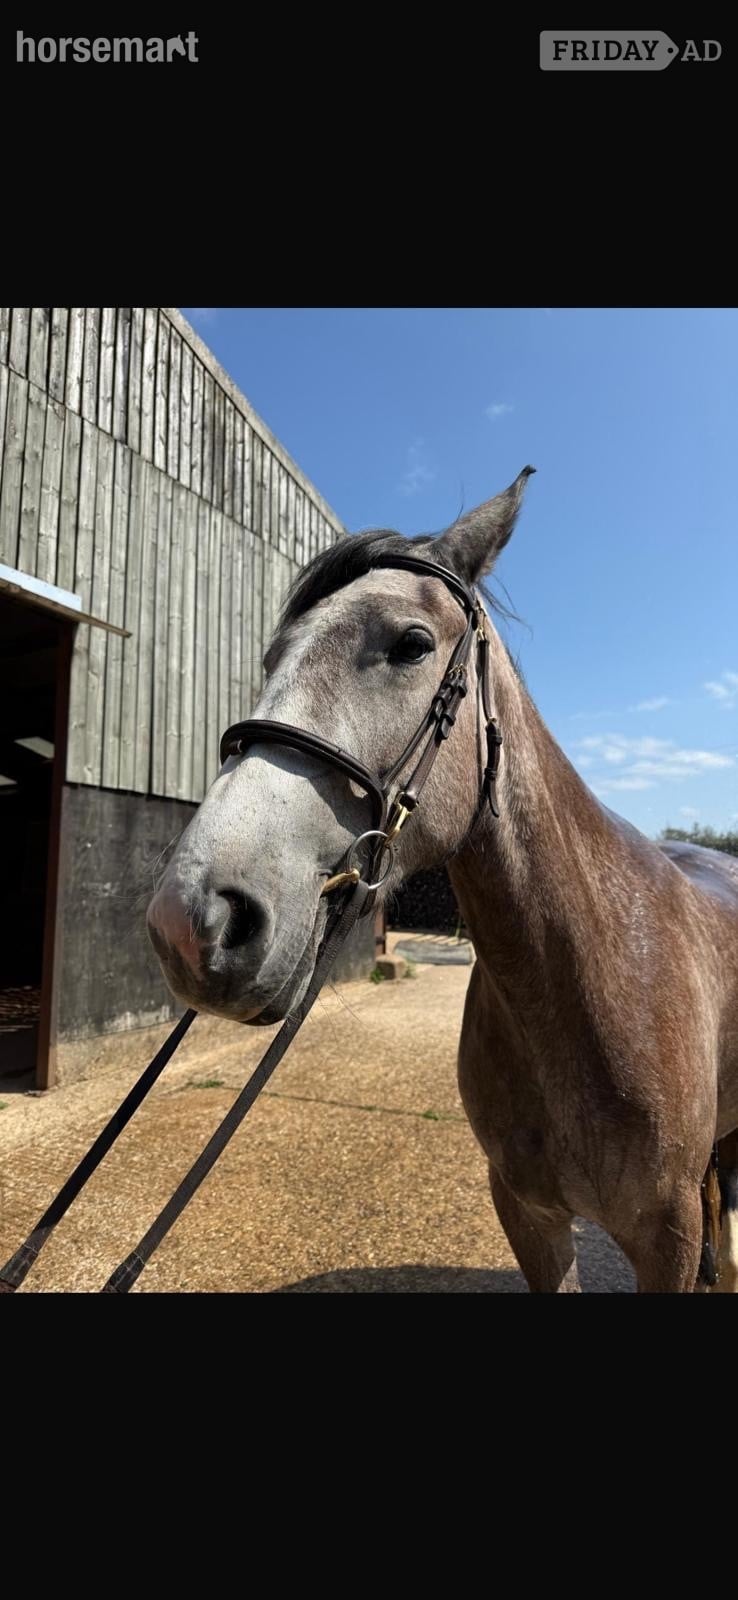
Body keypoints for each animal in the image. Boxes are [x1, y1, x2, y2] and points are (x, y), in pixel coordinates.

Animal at [147, 469, 738, 1292]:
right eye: (271, 658)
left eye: (413, 644)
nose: (192, 918)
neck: (588, 978)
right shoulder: (529, 1213)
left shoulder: (667, 1238)